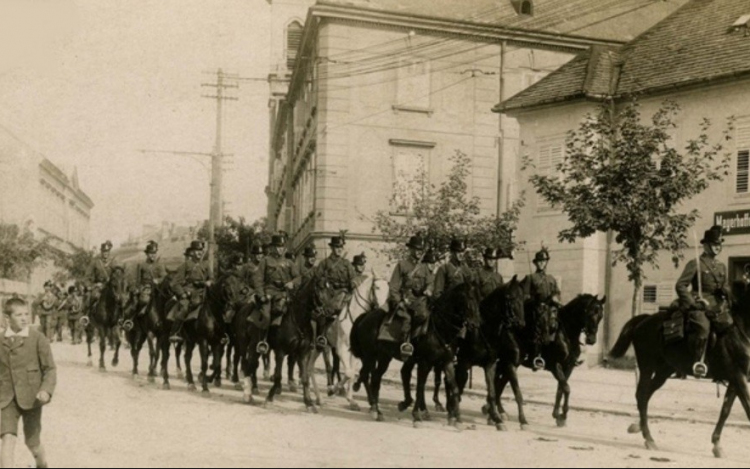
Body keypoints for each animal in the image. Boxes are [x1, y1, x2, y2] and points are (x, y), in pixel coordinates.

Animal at [352, 280, 476, 426]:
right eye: (467, 300)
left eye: (477, 299)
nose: (474, 324)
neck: (439, 328)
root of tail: (365, 317)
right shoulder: (425, 362)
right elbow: (420, 386)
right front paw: (417, 415)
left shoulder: (447, 362)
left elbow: (454, 387)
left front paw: (457, 418)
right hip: (370, 357)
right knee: (367, 375)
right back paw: (374, 408)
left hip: (384, 357)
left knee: (376, 377)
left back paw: (378, 411)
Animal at [496, 288, 608, 428]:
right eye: (589, 313)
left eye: (600, 316)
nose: (591, 340)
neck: (565, 333)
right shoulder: (555, 365)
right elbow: (566, 388)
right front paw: (563, 415)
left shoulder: (568, 367)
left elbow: (561, 389)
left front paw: (557, 415)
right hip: (510, 362)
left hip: (510, 363)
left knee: (500, 382)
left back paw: (497, 410)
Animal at [612, 280, 750, 458]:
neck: (740, 329)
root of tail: (645, 320)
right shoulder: (738, 377)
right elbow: (747, 409)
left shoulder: (736, 379)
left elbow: (725, 410)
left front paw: (717, 445)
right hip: (647, 367)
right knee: (642, 395)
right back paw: (649, 438)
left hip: (664, 371)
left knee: (645, 395)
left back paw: (638, 427)